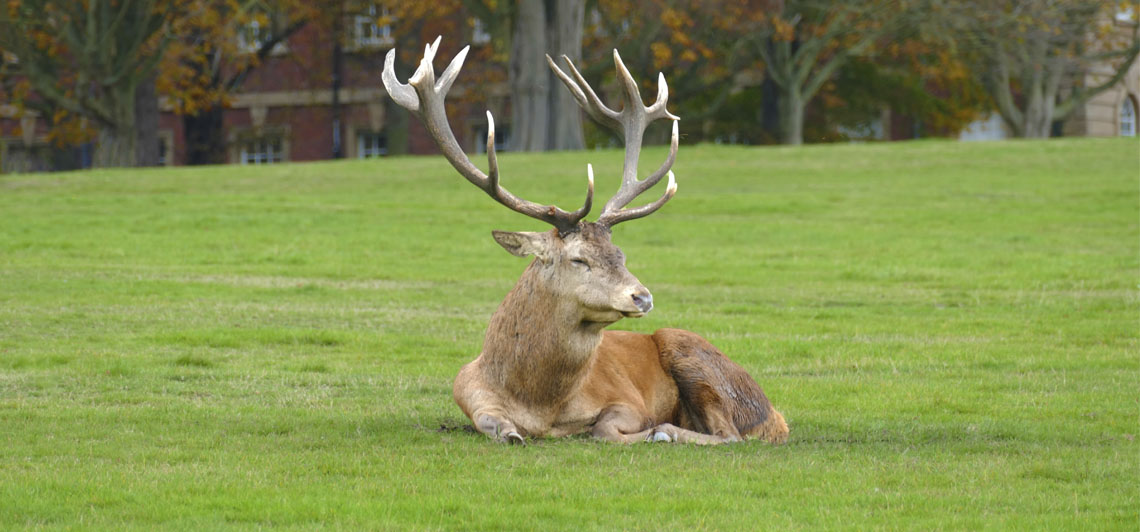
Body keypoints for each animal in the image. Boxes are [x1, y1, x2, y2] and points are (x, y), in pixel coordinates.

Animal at [380, 37, 784, 446]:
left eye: (620, 254)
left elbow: (605, 428)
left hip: (693, 354)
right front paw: (513, 432)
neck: (539, 404)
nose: (643, 297)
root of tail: (776, 416)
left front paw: (653, 431)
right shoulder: (469, 394)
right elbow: (497, 426)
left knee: (729, 434)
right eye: (578, 259)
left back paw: (667, 431)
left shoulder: (627, 400)